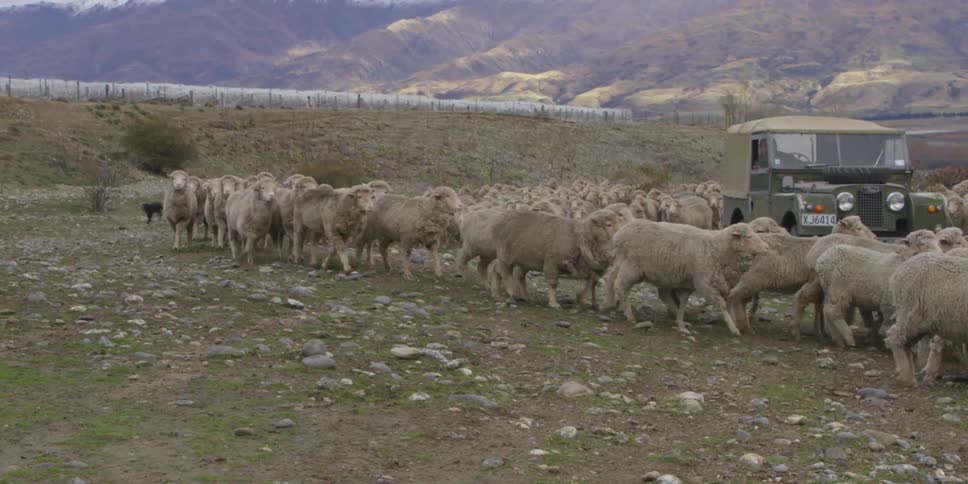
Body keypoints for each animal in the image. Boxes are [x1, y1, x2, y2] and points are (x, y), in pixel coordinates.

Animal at [491, 209, 625, 309]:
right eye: (609, 224)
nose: (621, 236)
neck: (579, 236)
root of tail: (498, 222)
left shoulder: (590, 267)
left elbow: (591, 282)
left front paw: (583, 299)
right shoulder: (552, 262)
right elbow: (553, 283)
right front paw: (554, 303)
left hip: (525, 261)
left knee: (517, 275)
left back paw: (521, 296)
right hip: (506, 255)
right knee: (501, 270)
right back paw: (510, 291)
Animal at [605, 221, 770, 336]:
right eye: (749, 237)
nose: (767, 248)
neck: (716, 248)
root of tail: (618, 235)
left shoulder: (688, 285)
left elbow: (683, 304)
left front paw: (681, 324)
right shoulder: (704, 283)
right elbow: (722, 305)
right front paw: (734, 328)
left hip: (626, 264)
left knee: (611, 278)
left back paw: (610, 304)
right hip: (631, 267)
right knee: (620, 285)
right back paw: (629, 315)